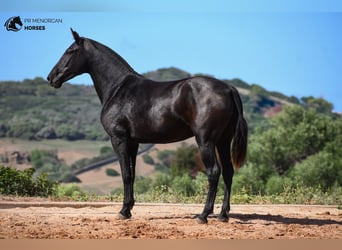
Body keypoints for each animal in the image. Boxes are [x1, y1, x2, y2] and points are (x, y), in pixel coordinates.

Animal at [46, 28, 247, 224]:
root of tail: (228, 89)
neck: (118, 88)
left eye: (70, 51)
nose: (51, 77)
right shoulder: (133, 142)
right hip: (222, 141)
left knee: (214, 172)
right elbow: (132, 174)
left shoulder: (119, 139)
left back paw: (203, 215)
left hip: (206, 141)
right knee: (228, 171)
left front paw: (122, 212)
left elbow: (125, 174)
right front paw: (128, 210)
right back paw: (223, 215)